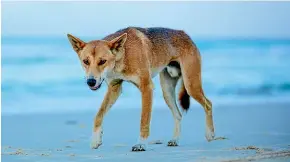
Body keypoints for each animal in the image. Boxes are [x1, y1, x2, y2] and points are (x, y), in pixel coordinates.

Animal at [67, 26, 214, 152]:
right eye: (85, 61)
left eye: (102, 61)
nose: (90, 82)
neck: (123, 55)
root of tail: (184, 34)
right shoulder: (114, 89)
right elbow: (98, 115)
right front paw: (96, 139)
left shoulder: (146, 88)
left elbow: (144, 120)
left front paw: (141, 144)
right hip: (167, 91)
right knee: (178, 114)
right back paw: (175, 140)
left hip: (191, 85)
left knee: (208, 104)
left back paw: (210, 134)